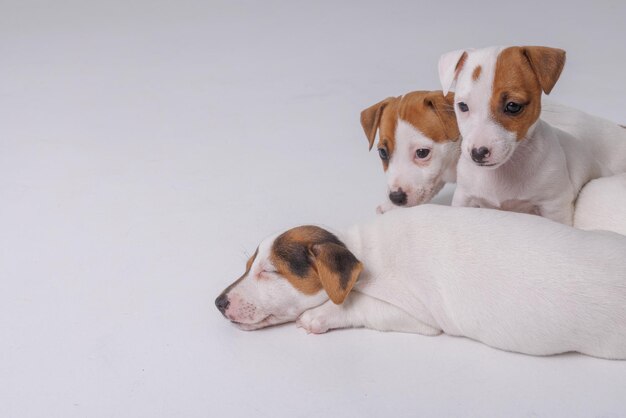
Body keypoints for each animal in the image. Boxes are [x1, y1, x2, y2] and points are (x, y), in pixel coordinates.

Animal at [216, 206, 624, 360]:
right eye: (249, 265)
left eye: (270, 272)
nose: (219, 303)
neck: (361, 249)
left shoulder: (417, 316)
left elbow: (356, 305)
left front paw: (318, 317)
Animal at [436, 45, 624, 225]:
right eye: (462, 106)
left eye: (513, 106)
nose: (478, 153)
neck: (503, 171)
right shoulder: (464, 197)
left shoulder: (555, 206)